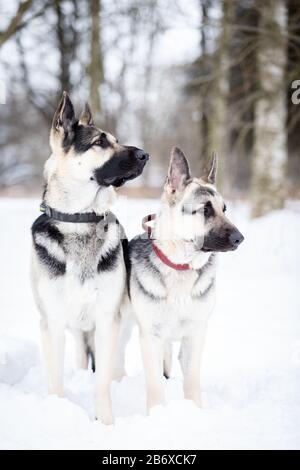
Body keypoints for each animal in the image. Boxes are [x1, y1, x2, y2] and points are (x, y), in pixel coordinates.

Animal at [127, 146, 244, 412]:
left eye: (224, 209)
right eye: (206, 210)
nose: (240, 238)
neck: (180, 267)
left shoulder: (195, 335)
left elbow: (191, 381)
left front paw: (194, 412)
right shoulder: (150, 337)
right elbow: (155, 388)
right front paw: (157, 414)